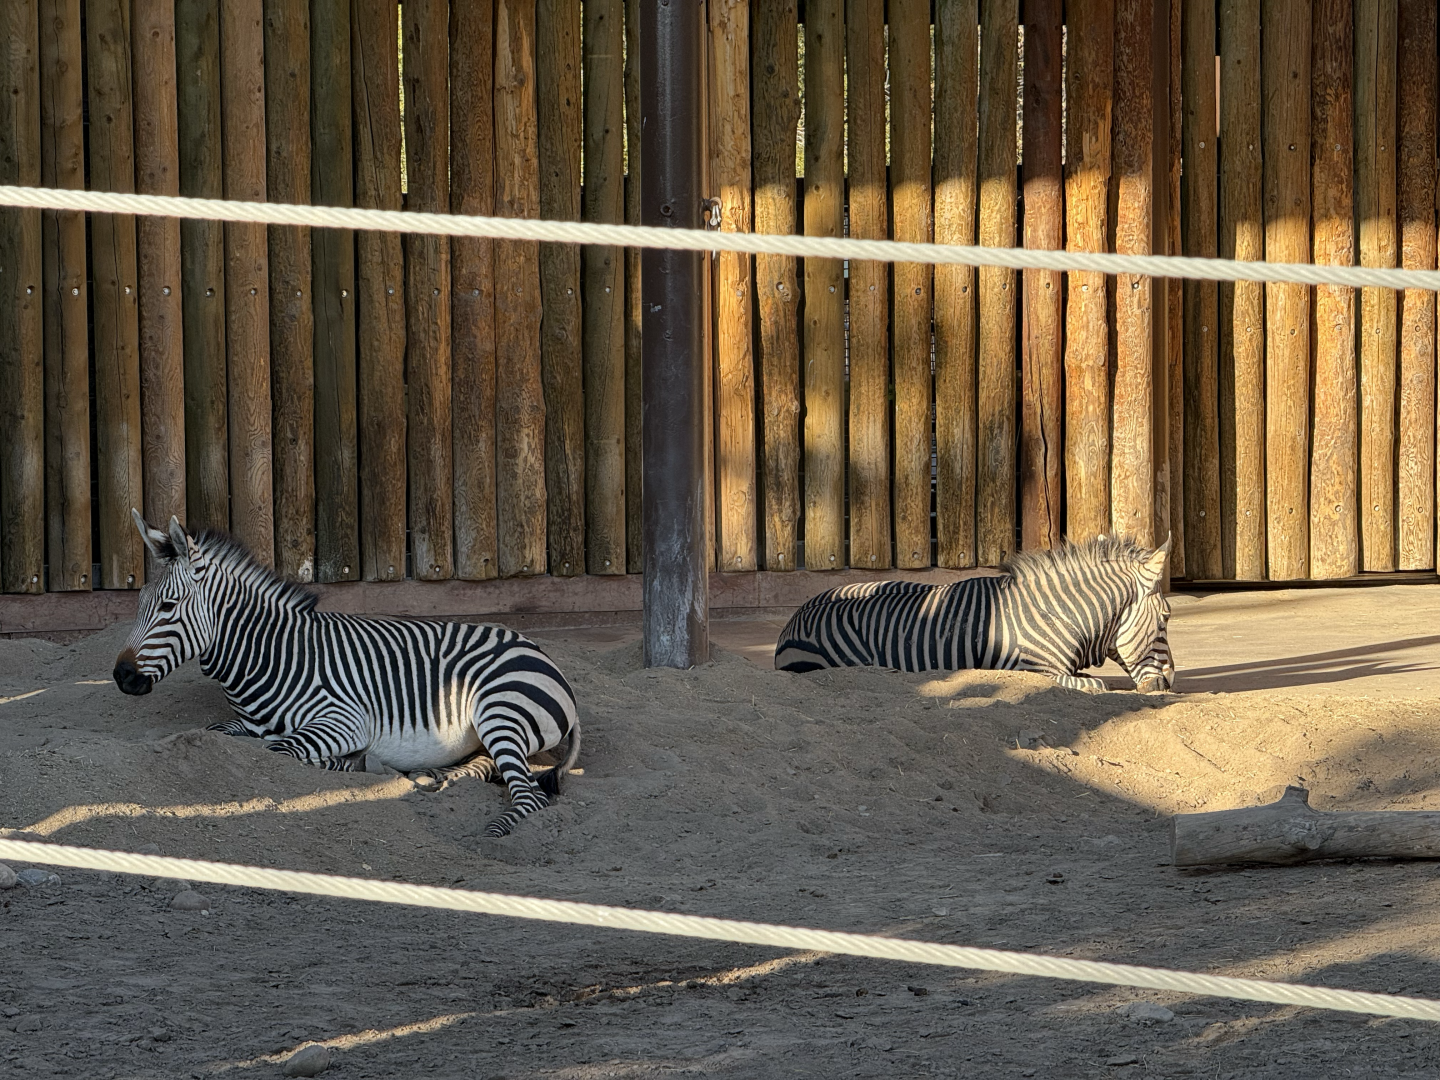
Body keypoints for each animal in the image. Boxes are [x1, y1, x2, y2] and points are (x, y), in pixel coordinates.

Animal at [113, 512, 580, 836]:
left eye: (168, 607)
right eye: (139, 601)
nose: (120, 676)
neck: (271, 653)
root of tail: (539, 652)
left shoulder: (345, 720)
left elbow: (280, 750)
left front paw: (356, 763)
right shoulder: (246, 724)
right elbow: (217, 734)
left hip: (500, 709)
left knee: (528, 794)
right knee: (488, 765)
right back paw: (438, 776)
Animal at [774, 535, 1174, 693]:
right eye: (1167, 618)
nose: (1170, 681)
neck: (1058, 615)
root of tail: (793, 619)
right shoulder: (1032, 670)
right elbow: (1095, 684)